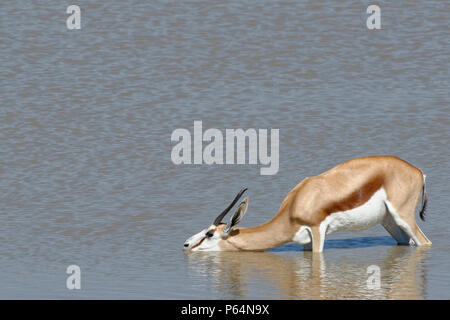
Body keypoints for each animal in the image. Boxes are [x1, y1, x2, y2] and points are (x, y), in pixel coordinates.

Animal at [184, 156, 432, 252]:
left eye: (209, 234)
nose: (186, 245)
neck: (295, 205)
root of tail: (418, 171)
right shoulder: (305, 239)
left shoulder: (317, 230)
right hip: (389, 222)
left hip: (403, 217)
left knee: (425, 242)